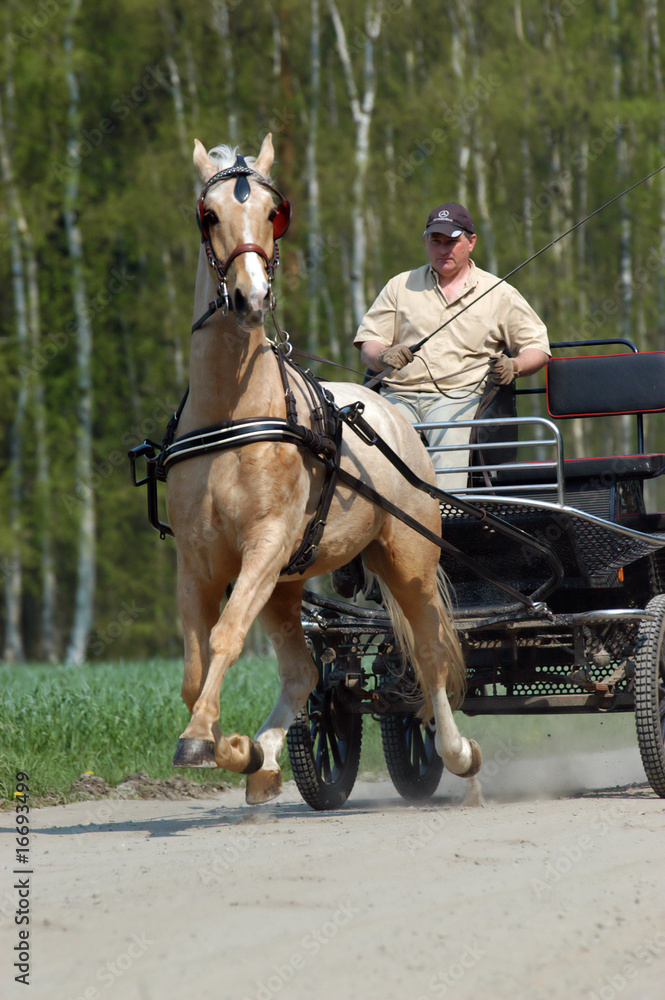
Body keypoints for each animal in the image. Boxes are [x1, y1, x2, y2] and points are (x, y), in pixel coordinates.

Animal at [164, 135, 480, 804]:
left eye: (272, 212)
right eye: (210, 216)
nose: (251, 298)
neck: (236, 410)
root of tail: (394, 414)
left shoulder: (264, 544)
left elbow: (226, 635)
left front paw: (207, 738)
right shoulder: (197, 558)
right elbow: (195, 668)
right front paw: (233, 746)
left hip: (409, 558)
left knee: (431, 655)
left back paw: (457, 752)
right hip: (287, 584)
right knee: (305, 672)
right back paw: (263, 760)